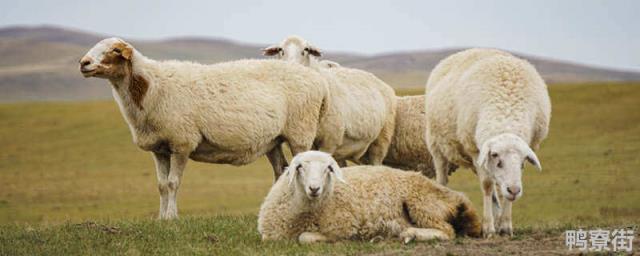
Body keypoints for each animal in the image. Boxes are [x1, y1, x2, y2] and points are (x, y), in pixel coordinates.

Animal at [79, 38, 344, 220]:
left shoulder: (182, 142)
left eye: (114, 51)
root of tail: (319, 81)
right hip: (274, 140)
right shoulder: (159, 148)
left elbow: (173, 183)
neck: (150, 87)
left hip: (300, 132)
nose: (84, 63)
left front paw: (172, 218)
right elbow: (161, 186)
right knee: (281, 172)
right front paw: (161, 218)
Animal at [255, 151, 480, 243]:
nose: (314, 188)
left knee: (447, 231)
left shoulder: (343, 227)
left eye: (328, 168)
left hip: (421, 203)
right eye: (300, 167)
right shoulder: (270, 235)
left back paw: (410, 234)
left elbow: (306, 237)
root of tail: (457, 197)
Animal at [422, 48, 552, 238]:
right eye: (497, 157)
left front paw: (505, 226)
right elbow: (487, 186)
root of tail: (466, 50)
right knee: (442, 178)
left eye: (523, 162)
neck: (506, 112)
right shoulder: (475, 150)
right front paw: (488, 228)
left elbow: (502, 190)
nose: (515, 191)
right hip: (436, 145)